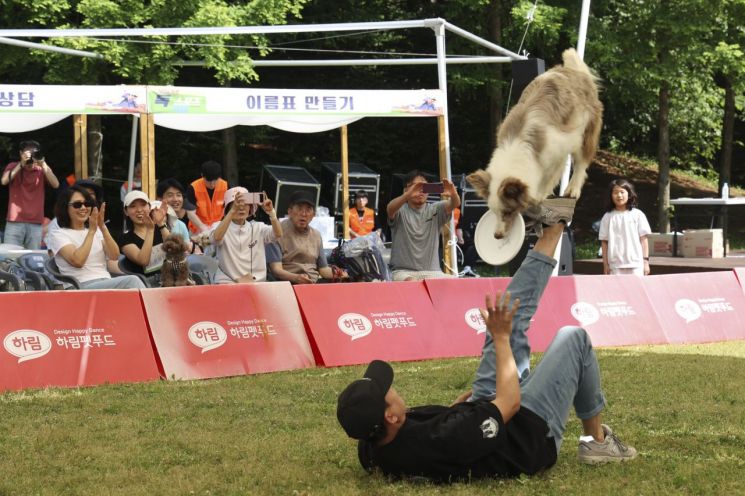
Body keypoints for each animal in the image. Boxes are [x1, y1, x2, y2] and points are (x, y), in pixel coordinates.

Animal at [468, 49, 600, 239]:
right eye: (493, 211)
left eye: (508, 212)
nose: (497, 236)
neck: (517, 146)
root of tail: (575, 71)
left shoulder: (557, 150)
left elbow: (549, 177)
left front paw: (539, 196)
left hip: (585, 130)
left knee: (582, 162)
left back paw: (572, 189)